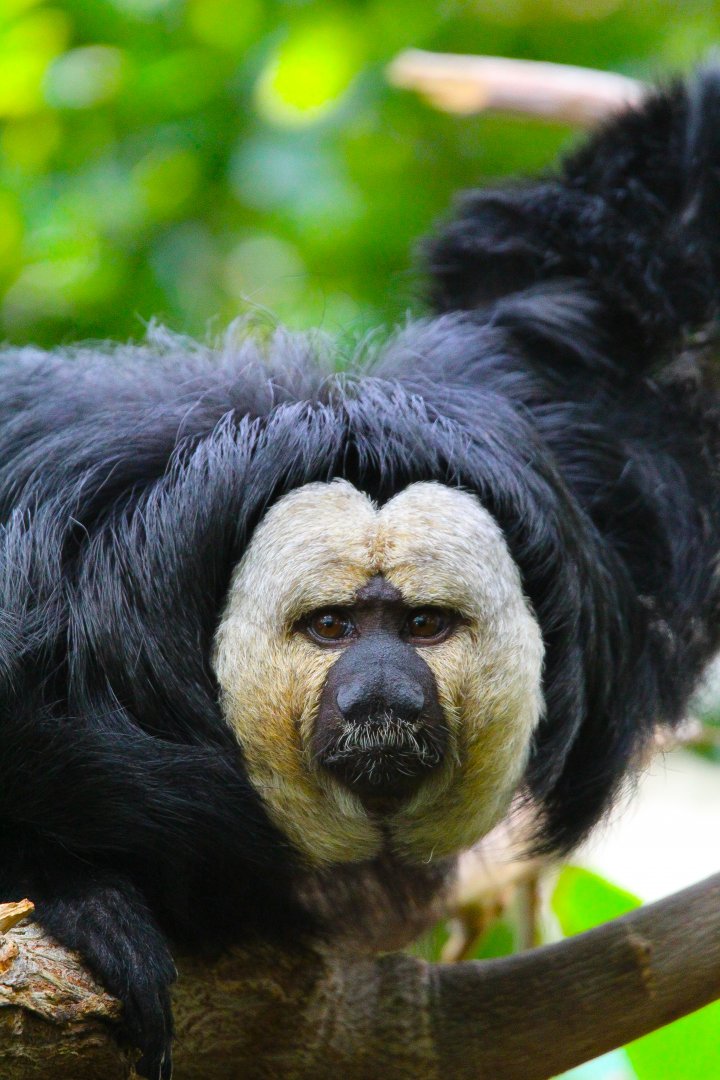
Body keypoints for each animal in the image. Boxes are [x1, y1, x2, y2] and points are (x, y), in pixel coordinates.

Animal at [1, 68, 720, 1078]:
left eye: (423, 625)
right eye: (333, 626)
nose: (383, 693)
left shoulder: (593, 466)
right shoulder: (50, 614)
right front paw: (85, 902)